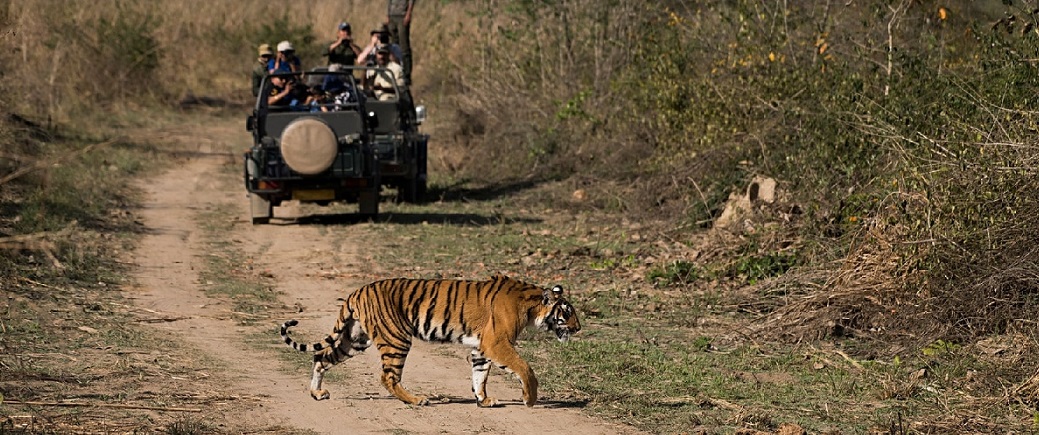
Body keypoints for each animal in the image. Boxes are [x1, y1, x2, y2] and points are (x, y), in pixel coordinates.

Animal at [280, 276, 581, 409]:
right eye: (567, 313)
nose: (578, 328)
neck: (531, 306)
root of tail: (357, 291)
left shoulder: (482, 347)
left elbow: (480, 375)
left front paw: (483, 400)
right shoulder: (497, 343)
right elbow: (524, 368)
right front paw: (530, 399)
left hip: (354, 340)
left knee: (321, 358)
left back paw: (317, 393)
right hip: (396, 338)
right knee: (388, 377)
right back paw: (417, 400)